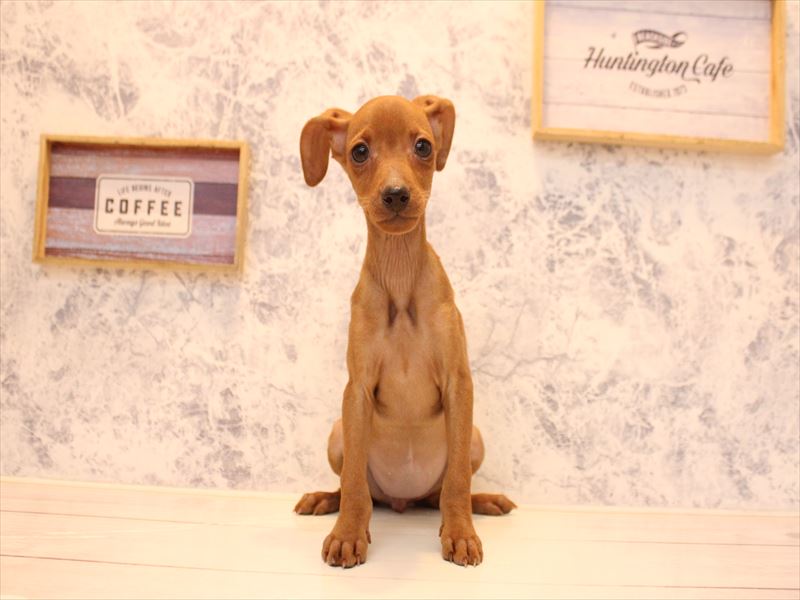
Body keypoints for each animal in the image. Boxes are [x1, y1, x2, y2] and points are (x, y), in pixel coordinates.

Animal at [295, 95, 515, 568]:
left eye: (423, 146)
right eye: (360, 152)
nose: (396, 194)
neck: (400, 276)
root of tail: (402, 501)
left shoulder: (459, 384)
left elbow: (457, 482)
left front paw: (461, 534)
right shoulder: (356, 391)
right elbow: (354, 485)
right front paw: (347, 534)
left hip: (473, 437)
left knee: (443, 492)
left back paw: (483, 501)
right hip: (338, 433)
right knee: (355, 487)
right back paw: (324, 499)